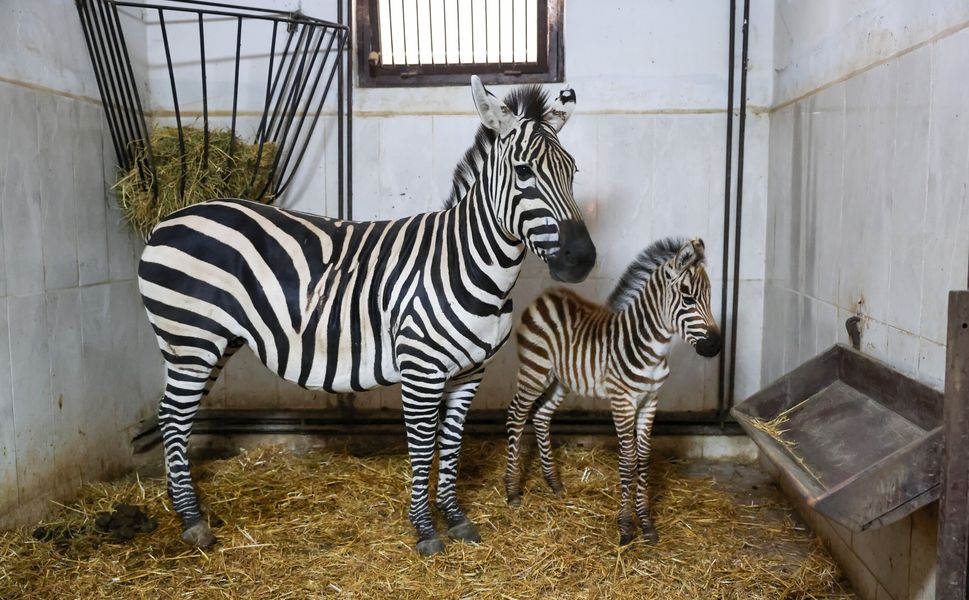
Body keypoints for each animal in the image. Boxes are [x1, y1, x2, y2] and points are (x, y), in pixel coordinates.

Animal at [138, 76, 596, 556]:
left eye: (572, 172)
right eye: (524, 172)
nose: (582, 259)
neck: (468, 261)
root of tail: (169, 217)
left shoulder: (470, 372)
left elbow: (452, 443)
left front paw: (455, 518)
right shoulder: (421, 369)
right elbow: (423, 446)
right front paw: (425, 530)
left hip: (211, 342)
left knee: (174, 416)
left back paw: (179, 503)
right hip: (191, 339)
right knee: (173, 417)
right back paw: (192, 521)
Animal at [504, 237, 720, 546]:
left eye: (709, 298)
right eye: (688, 298)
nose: (715, 346)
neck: (651, 347)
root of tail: (546, 295)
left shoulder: (650, 400)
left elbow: (644, 458)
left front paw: (646, 524)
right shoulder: (622, 401)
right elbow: (628, 460)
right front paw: (626, 526)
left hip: (561, 380)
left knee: (541, 416)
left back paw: (554, 483)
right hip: (535, 371)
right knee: (516, 415)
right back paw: (512, 491)